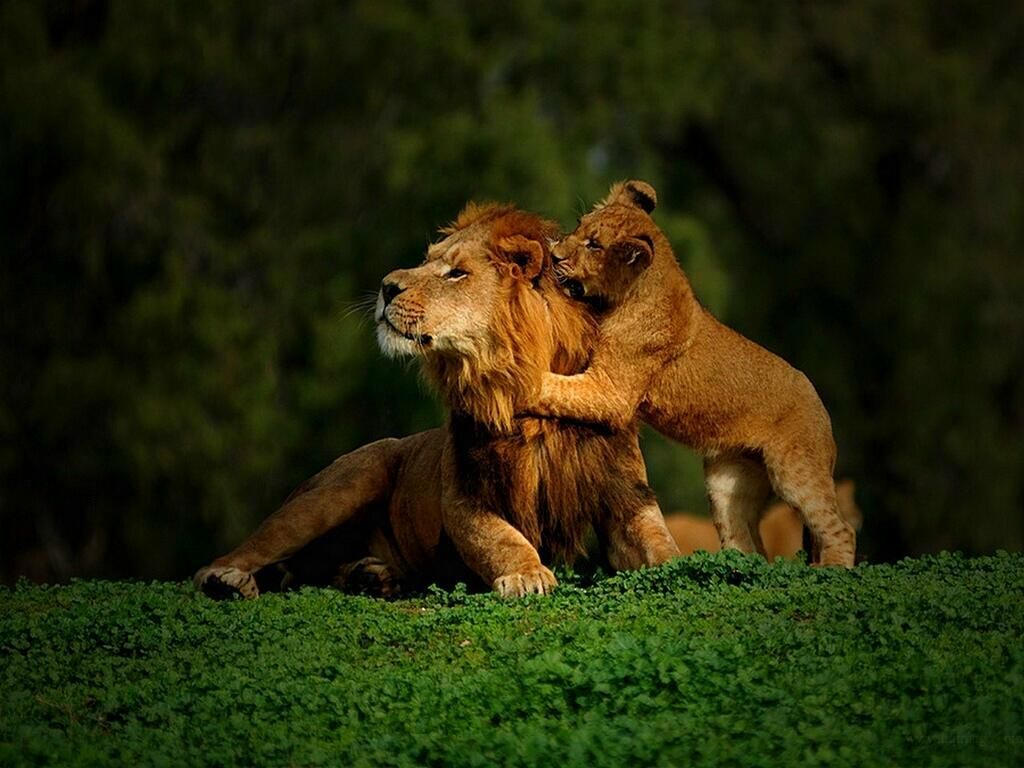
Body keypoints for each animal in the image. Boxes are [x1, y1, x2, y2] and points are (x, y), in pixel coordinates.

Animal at [194, 202, 680, 599]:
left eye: (457, 273)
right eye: (426, 261)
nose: (386, 286)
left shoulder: (626, 495)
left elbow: (660, 542)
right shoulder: (464, 496)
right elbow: (502, 538)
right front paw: (527, 574)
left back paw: (371, 577)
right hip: (338, 488)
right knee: (243, 554)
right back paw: (228, 581)